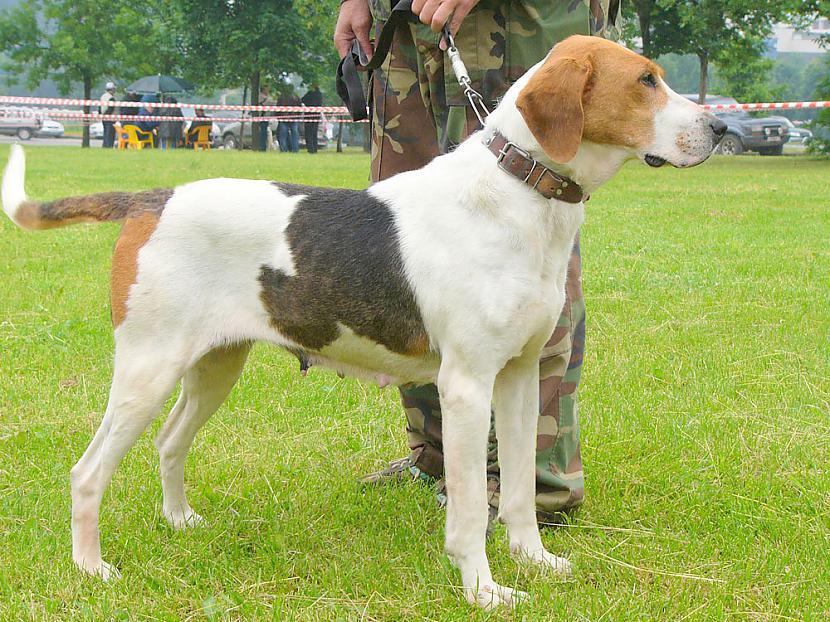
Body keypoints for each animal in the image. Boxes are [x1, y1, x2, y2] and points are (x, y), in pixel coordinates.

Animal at [0, 36, 728, 612]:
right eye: (646, 81)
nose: (721, 130)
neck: (518, 191)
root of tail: (152, 199)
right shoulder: (467, 388)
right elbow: (471, 507)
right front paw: (484, 590)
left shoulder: (520, 377)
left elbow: (519, 490)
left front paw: (534, 562)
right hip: (146, 371)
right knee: (87, 472)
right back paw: (92, 569)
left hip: (215, 365)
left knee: (169, 443)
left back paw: (180, 523)